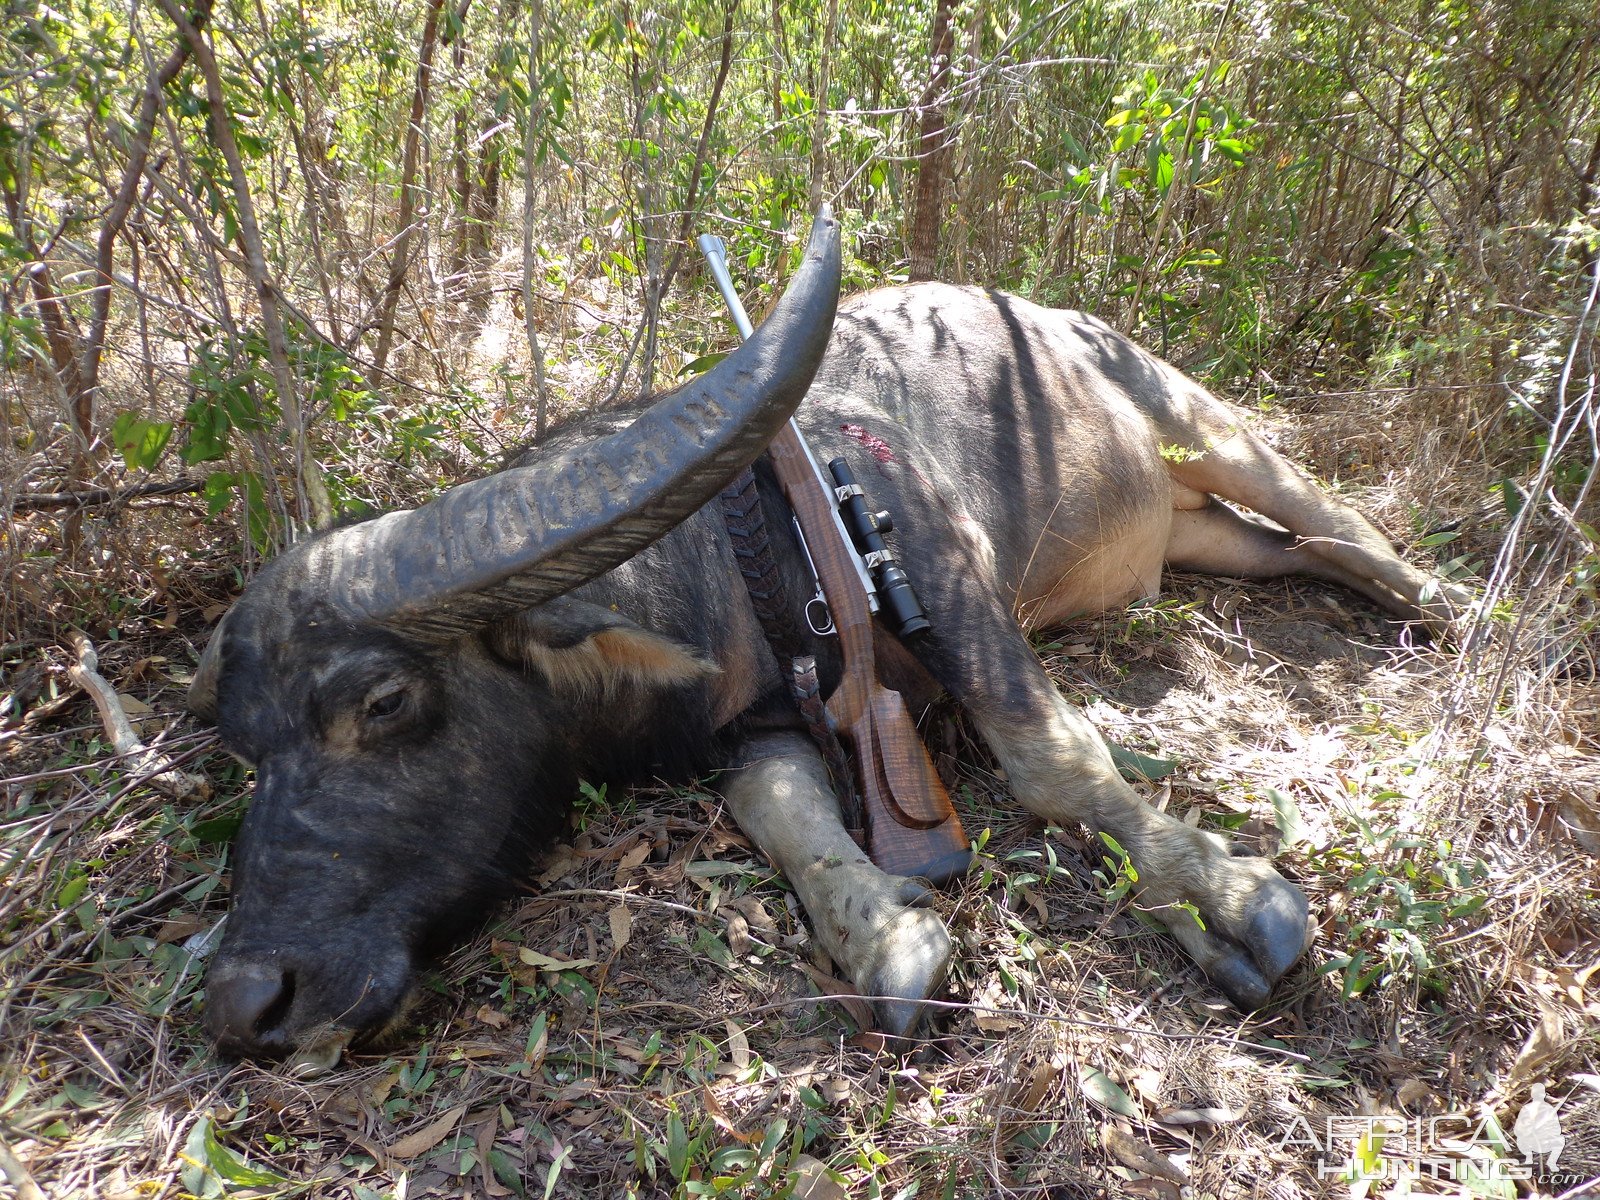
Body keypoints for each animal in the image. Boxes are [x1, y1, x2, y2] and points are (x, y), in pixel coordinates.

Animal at [187, 211, 1465, 1068]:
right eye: (245, 747)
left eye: (383, 702)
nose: (249, 1003)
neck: (735, 534)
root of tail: (1061, 318)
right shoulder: (757, 726)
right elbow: (781, 812)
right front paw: (886, 936)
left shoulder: (952, 585)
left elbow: (1050, 763)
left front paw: (1222, 902)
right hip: (1207, 536)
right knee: (1301, 552)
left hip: (1201, 421)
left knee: (1337, 519)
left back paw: (1448, 605)